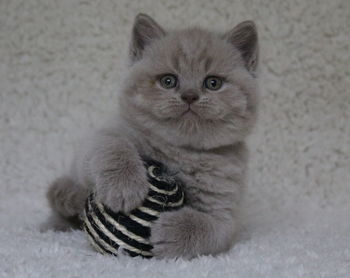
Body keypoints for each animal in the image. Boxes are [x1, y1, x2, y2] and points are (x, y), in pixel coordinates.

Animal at [43, 13, 260, 260]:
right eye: (168, 81)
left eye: (213, 83)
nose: (189, 95)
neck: (181, 152)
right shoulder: (101, 139)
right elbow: (113, 146)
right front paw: (124, 187)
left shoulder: (226, 213)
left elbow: (213, 228)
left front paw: (173, 231)